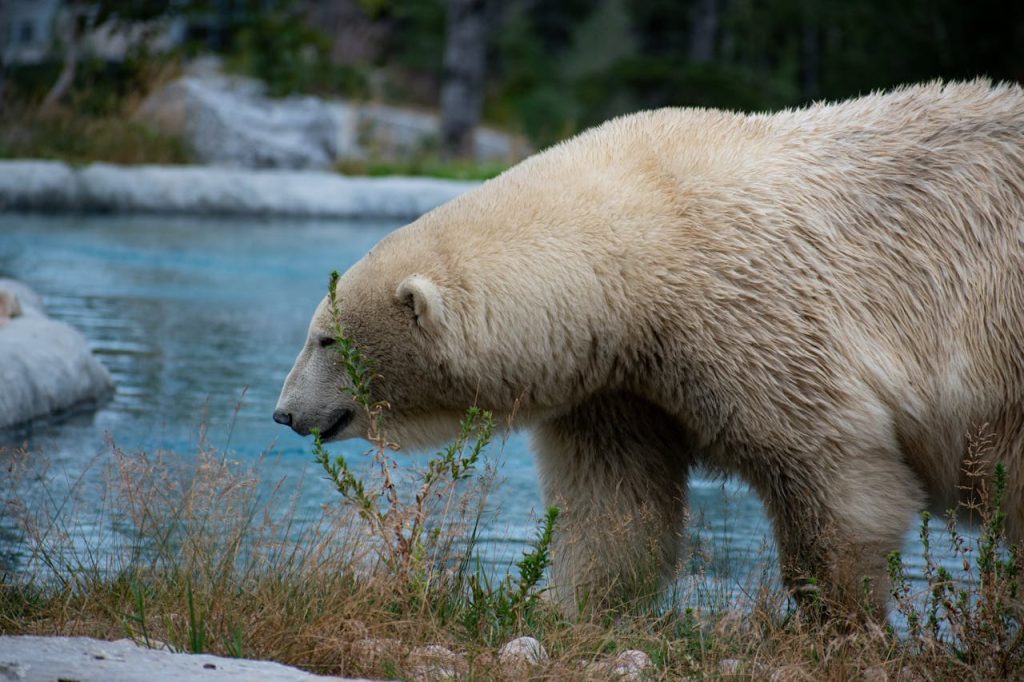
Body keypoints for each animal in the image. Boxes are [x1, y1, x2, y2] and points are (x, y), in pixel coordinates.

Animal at [275, 80, 1024, 619]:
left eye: (326, 338)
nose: (284, 412)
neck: (648, 234)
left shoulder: (759, 316)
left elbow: (835, 474)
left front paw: (837, 621)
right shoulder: (620, 376)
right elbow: (616, 503)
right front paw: (574, 611)